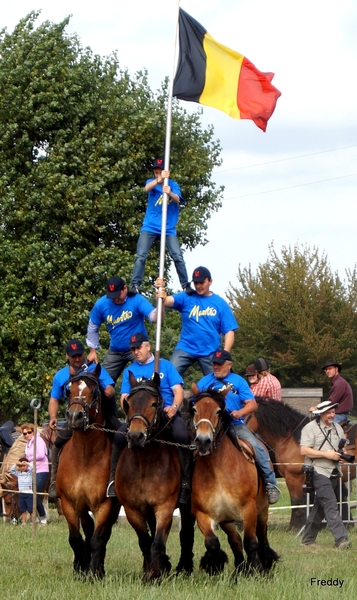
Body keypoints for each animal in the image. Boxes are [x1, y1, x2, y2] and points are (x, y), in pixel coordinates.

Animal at [56, 364, 119, 580]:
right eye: (69, 391)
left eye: (94, 391)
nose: (75, 416)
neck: (85, 457)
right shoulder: (69, 503)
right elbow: (75, 538)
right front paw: (80, 569)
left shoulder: (104, 505)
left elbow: (98, 539)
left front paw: (94, 573)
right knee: (87, 529)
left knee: (102, 535)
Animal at [114, 376, 195, 580]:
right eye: (128, 404)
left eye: (153, 403)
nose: (136, 437)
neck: (145, 463)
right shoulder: (133, 509)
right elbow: (145, 540)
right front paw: (152, 569)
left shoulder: (164, 507)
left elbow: (158, 541)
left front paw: (156, 573)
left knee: (186, 532)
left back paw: (184, 567)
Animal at [189, 384, 278, 576]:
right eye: (194, 409)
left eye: (218, 411)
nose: (203, 441)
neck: (218, 471)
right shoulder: (205, 514)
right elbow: (213, 543)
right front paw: (214, 564)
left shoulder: (249, 510)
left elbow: (251, 543)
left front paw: (255, 570)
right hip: (228, 520)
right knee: (235, 540)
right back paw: (239, 568)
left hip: (262, 510)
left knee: (261, 537)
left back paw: (265, 564)